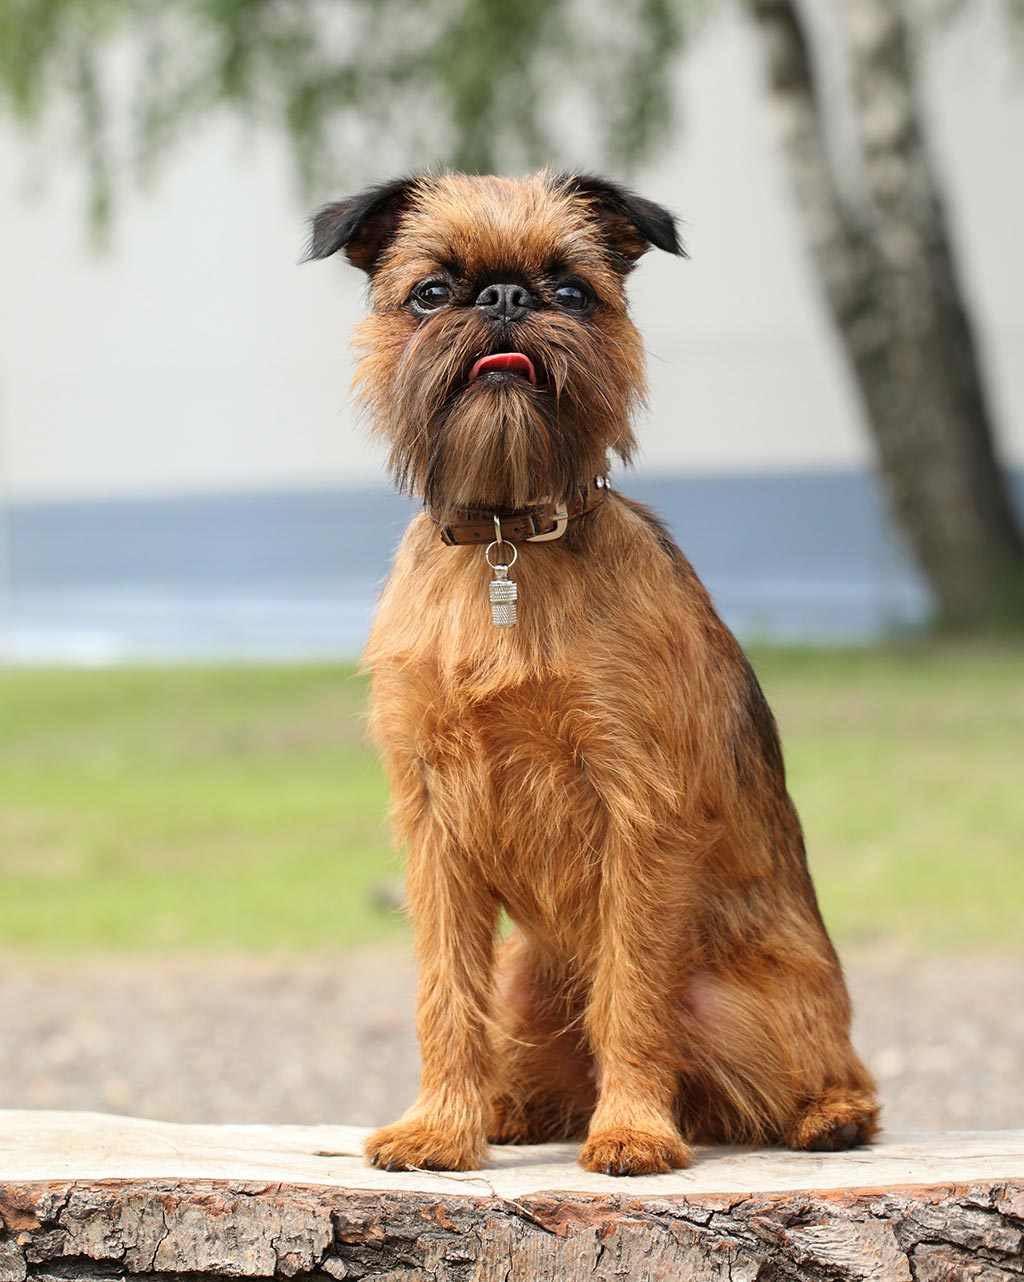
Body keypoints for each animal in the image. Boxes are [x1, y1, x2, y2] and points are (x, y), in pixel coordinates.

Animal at [306, 173, 881, 1179]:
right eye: (431, 292)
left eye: (572, 291)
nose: (504, 297)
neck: (504, 542)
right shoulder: (433, 824)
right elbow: (444, 990)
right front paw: (439, 1126)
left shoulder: (638, 811)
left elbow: (633, 993)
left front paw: (634, 1130)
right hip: (526, 982)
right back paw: (503, 1109)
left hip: (754, 1009)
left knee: (830, 1075)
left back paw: (825, 1117)